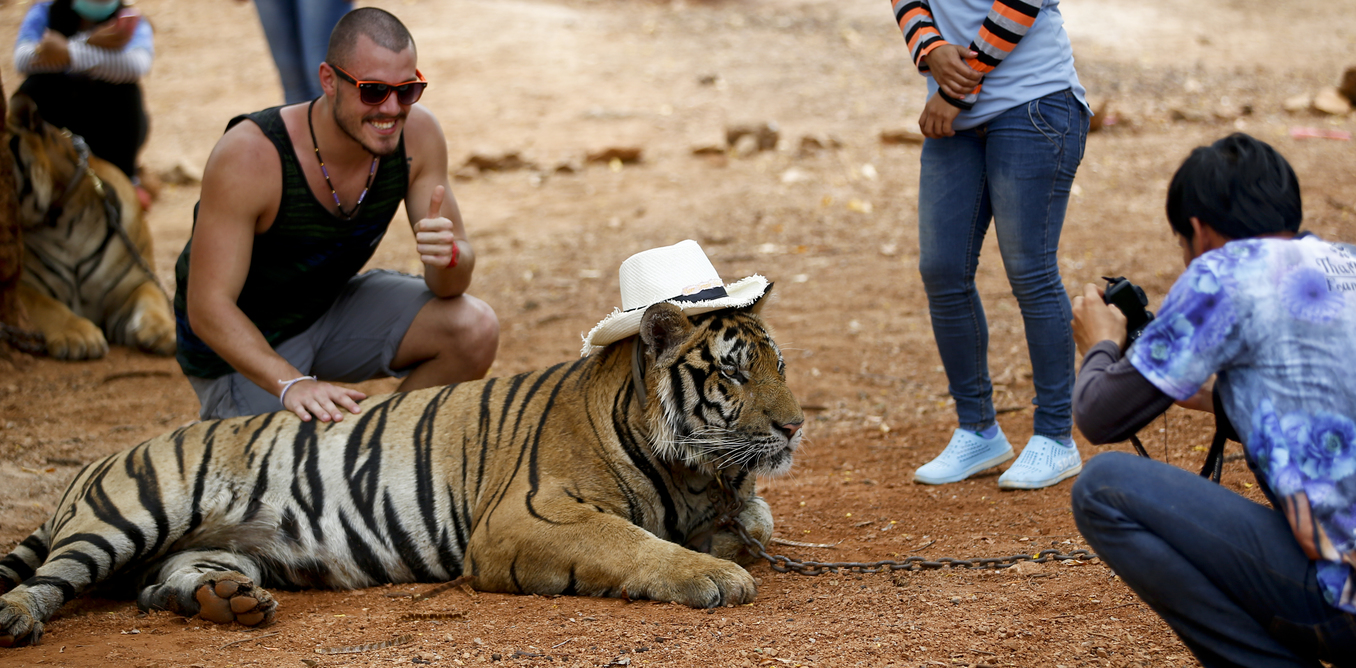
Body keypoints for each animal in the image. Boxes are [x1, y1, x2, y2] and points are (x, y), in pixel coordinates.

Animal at [0, 296, 804, 646]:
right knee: (55, 579)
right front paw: (717, 575)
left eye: (780, 364)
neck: (694, 472)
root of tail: (99, 461)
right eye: (733, 372)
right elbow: (629, 542)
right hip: (132, 512)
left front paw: (731, 541)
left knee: (158, 586)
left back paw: (224, 604)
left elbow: (755, 521)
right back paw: (17, 618)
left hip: (216, 546)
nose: (795, 426)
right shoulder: (525, 515)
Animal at [7, 92, 175, 360]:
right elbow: (42, 303)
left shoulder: (131, 281)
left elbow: (151, 295)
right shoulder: (20, 285)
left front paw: (162, 331)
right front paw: (77, 335)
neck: (64, 225)